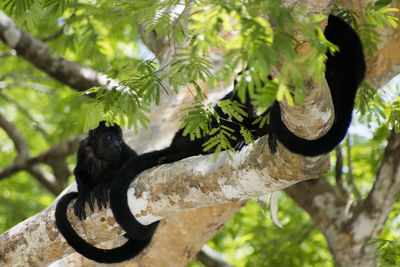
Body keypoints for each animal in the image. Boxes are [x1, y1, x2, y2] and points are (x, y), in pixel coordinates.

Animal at [55, 122, 158, 264]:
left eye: (119, 139)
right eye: (110, 137)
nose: (116, 145)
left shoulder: (124, 150)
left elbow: (130, 162)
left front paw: (104, 185)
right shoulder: (83, 148)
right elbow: (79, 171)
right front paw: (83, 195)